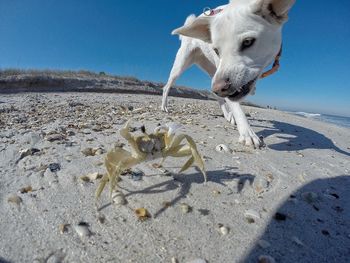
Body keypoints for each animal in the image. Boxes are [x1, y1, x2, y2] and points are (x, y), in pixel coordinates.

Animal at [161, 0, 296, 148]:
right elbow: (236, 107)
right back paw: (164, 106)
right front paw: (247, 133)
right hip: (183, 65)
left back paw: (227, 114)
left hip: (213, 72)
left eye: (248, 41)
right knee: (167, 86)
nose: (220, 88)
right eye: (216, 50)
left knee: (218, 97)